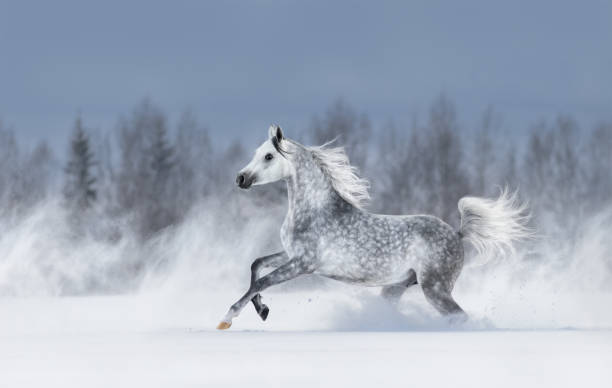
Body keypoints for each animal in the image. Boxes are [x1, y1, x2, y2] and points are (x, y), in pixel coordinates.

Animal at [216, 126, 532, 328]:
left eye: (269, 156)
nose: (240, 178)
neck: (315, 210)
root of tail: (457, 233)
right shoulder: (290, 254)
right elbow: (256, 266)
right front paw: (263, 310)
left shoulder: (303, 264)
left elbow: (261, 281)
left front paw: (227, 319)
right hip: (397, 287)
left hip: (435, 289)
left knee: (460, 317)